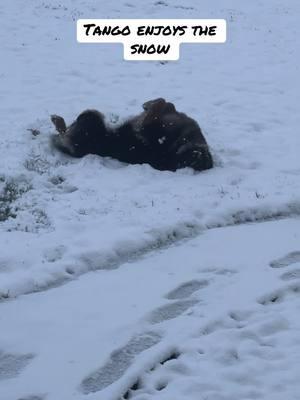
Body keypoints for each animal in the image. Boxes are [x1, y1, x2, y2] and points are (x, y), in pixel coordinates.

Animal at [50, 98, 213, 172]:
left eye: (192, 158)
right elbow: (165, 103)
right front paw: (149, 104)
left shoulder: (147, 130)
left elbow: (158, 107)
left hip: (91, 119)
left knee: (64, 134)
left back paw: (57, 121)